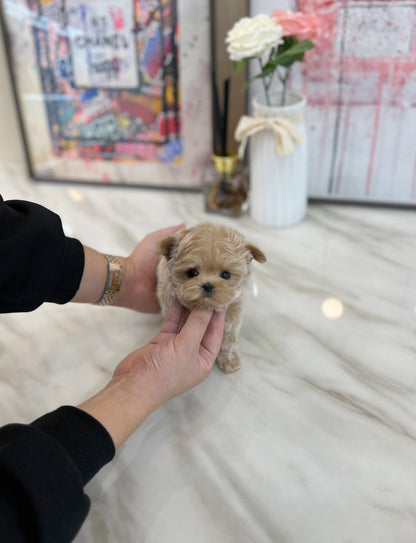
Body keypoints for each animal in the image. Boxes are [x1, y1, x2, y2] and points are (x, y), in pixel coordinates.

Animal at [156, 223, 266, 372]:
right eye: (192, 273)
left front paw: (229, 360)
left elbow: (228, 341)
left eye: (226, 275)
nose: (208, 285)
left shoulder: (232, 318)